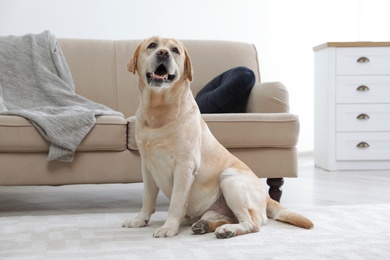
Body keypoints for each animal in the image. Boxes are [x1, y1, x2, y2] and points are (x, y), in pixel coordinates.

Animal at [122, 35, 314, 239]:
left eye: (175, 50)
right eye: (152, 45)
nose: (163, 53)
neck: (159, 113)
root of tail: (265, 196)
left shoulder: (185, 166)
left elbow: (176, 202)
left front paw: (169, 227)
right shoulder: (147, 166)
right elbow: (147, 199)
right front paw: (139, 220)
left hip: (229, 179)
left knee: (253, 224)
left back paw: (227, 230)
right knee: (226, 217)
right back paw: (206, 225)